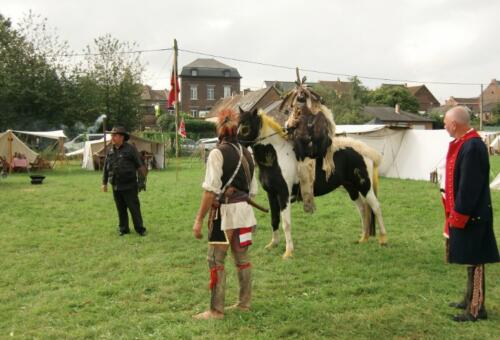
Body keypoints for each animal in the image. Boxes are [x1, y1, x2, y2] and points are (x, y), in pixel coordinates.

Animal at [237, 107, 386, 258]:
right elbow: (274, 219)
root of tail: (366, 151)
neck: (276, 156)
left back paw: (383, 239)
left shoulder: (284, 195)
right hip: (351, 187)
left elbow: (286, 223)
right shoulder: (272, 195)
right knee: (362, 208)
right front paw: (273, 244)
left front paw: (288, 252)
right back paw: (363, 238)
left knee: (376, 207)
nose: (235, 143)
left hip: (365, 186)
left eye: (246, 126)